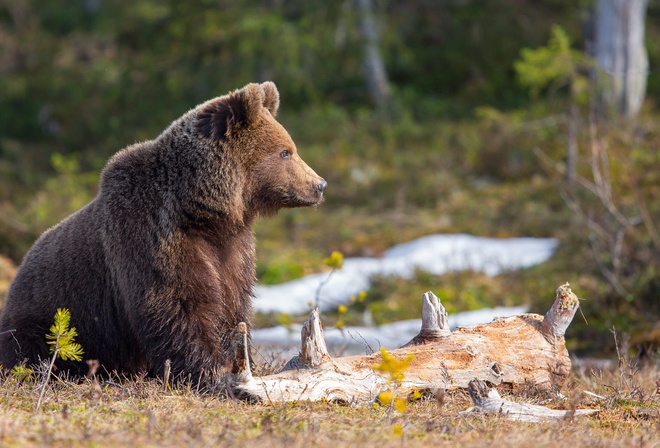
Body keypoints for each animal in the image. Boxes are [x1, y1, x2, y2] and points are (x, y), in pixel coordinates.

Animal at [0, 81, 326, 382]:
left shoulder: (232, 247)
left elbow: (233, 302)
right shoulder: (153, 235)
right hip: (45, 321)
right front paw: (208, 369)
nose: (319, 184)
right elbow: (177, 304)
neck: (201, 210)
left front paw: (237, 359)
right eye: (285, 152)